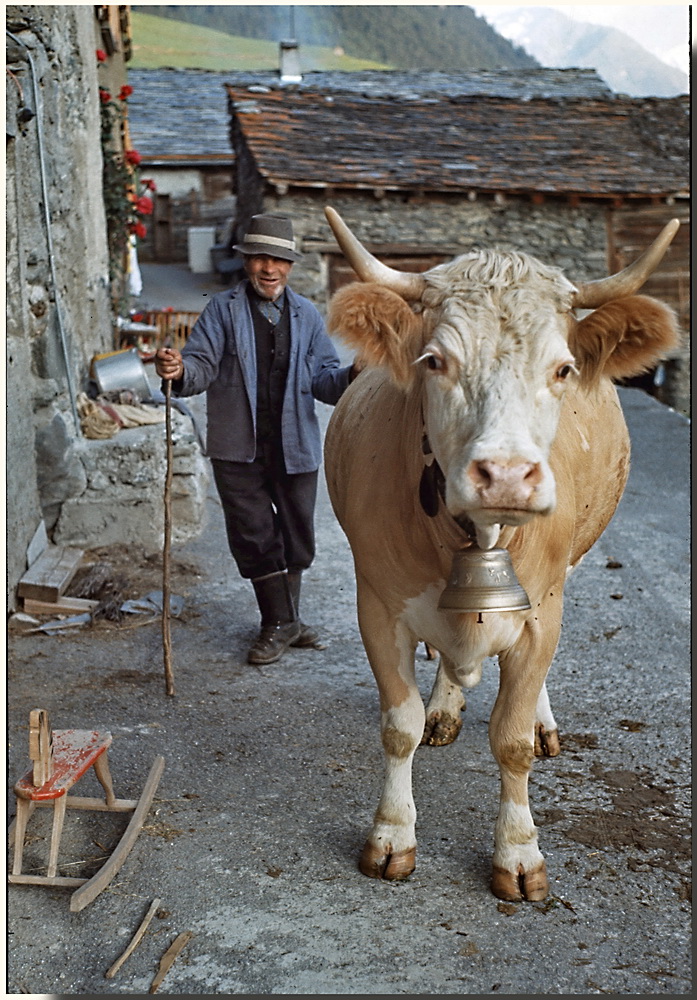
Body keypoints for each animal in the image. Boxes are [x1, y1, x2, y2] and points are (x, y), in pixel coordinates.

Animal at [324, 207, 676, 904]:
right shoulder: (377, 604)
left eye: (563, 369)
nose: (508, 476)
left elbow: (510, 741)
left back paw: (539, 720)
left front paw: (518, 850)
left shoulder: (541, 611)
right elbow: (398, 726)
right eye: (434, 361)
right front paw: (391, 835)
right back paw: (445, 704)